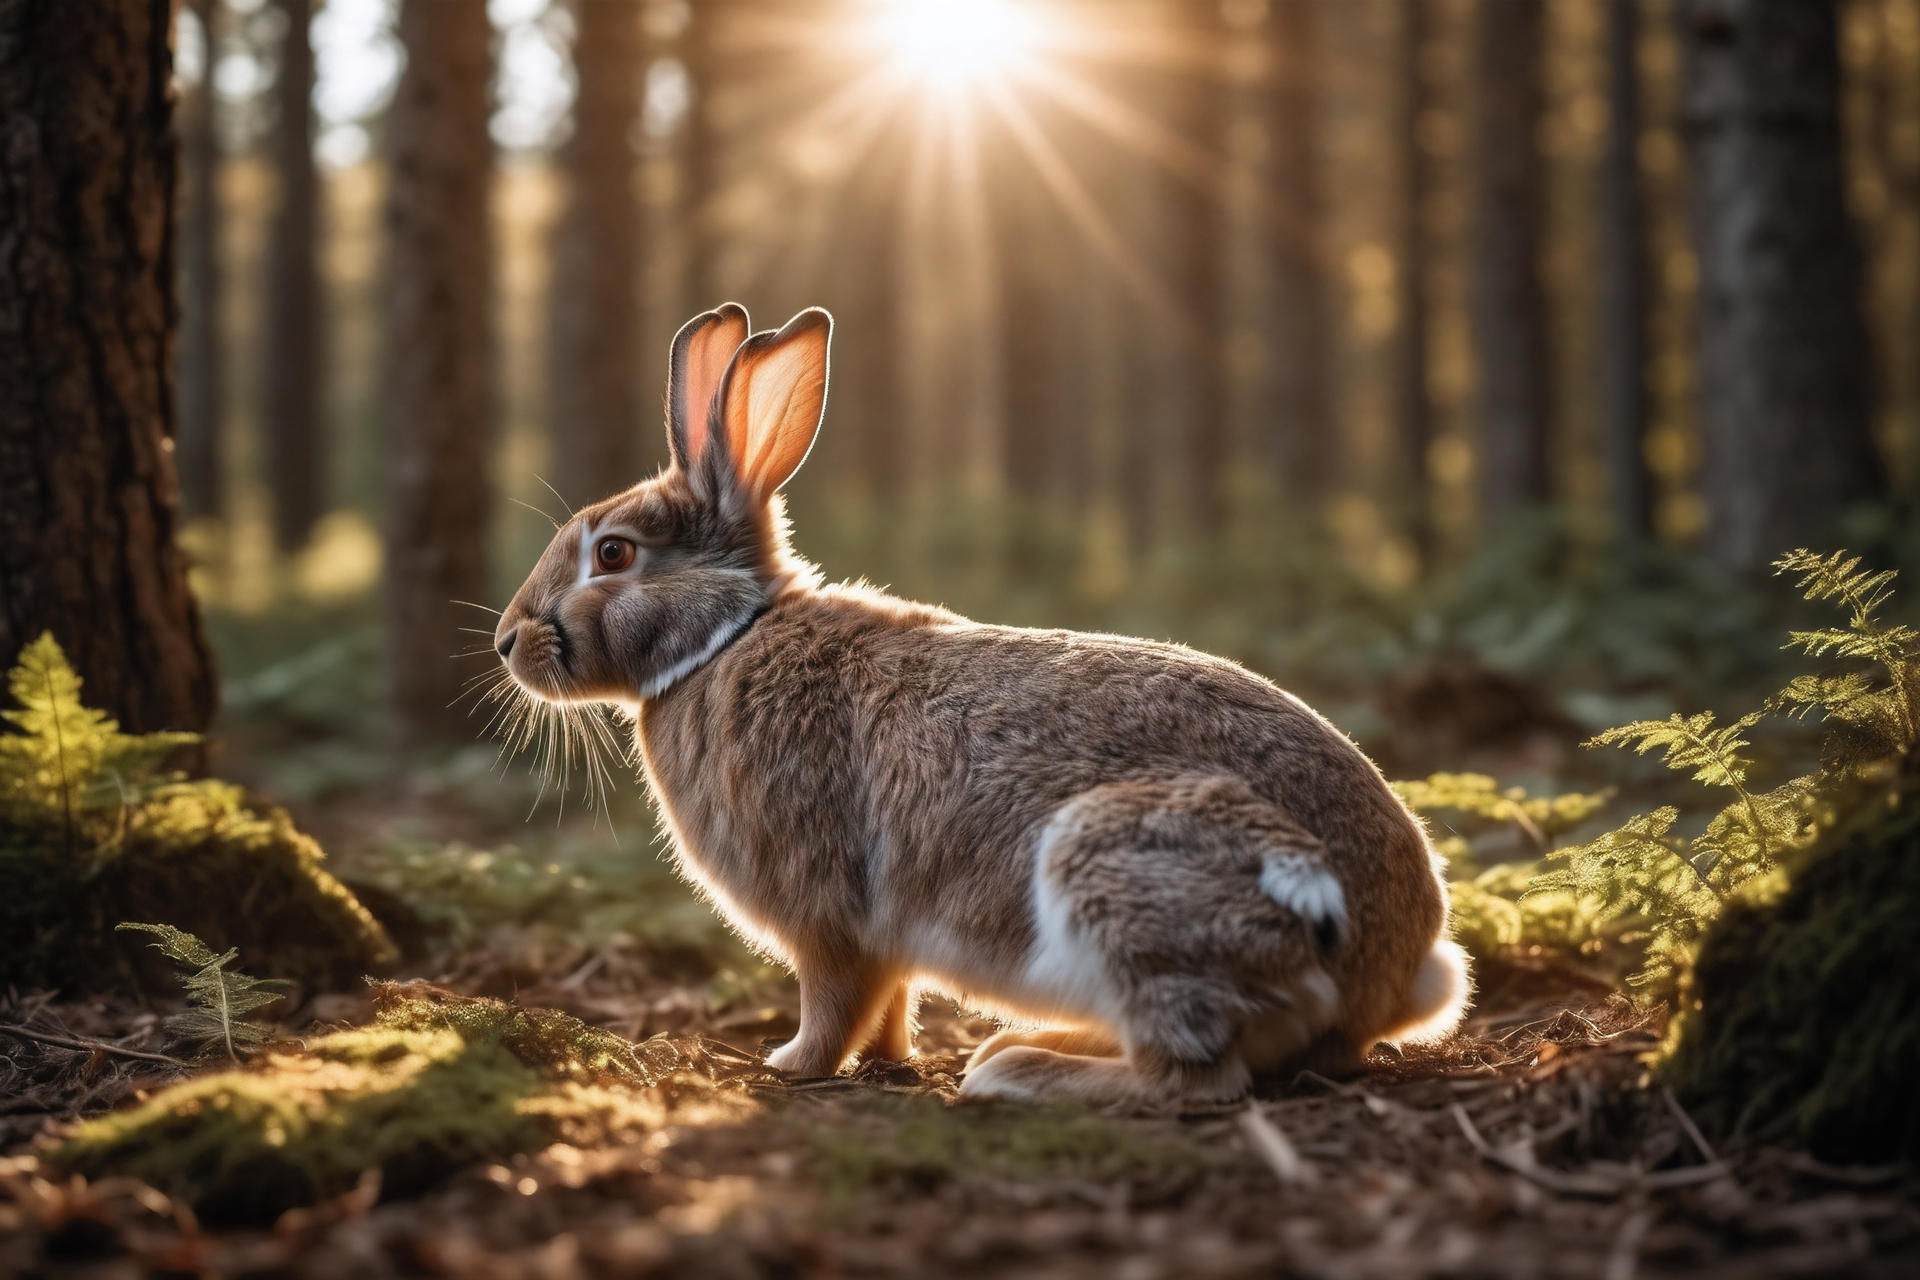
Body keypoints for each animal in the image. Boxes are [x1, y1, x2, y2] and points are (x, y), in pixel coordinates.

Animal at [494, 302, 1470, 1107]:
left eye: (613, 554)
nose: (506, 642)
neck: (726, 636)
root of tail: (1393, 962)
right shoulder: (882, 942)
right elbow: (890, 1000)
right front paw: (887, 1062)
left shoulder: (824, 912)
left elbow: (833, 997)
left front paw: (790, 1065)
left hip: (1119, 876)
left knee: (1196, 1073)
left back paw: (1021, 1070)